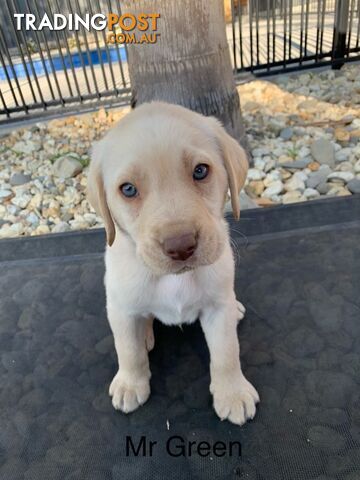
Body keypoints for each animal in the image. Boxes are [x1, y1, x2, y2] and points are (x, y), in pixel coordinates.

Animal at [88, 101, 260, 424]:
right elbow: (127, 350)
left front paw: (232, 393)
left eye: (201, 171)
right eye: (128, 189)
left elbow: (226, 352)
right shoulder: (119, 308)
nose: (180, 246)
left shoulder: (218, 307)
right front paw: (130, 383)